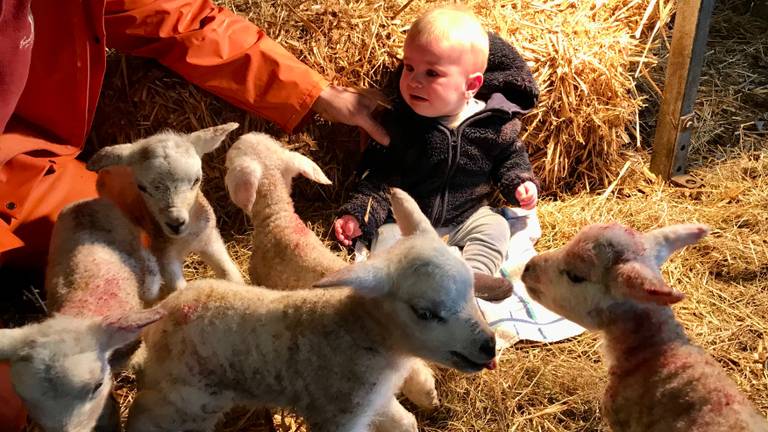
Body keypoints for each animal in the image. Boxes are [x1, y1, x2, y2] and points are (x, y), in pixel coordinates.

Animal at [89, 123, 246, 296]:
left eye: (196, 180)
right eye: (141, 188)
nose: (176, 223)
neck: (186, 237)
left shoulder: (210, 238)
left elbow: (231, 275)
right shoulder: (165, 256)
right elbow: (178, 290)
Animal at [126, 188, 498, 432]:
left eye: (471, 288)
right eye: (424, 313)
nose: (488, 346)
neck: (366, 337)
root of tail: (164, 314)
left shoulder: (370, 399)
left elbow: (403, 421)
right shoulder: (338, 414)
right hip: (186, 397)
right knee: (147, 415)